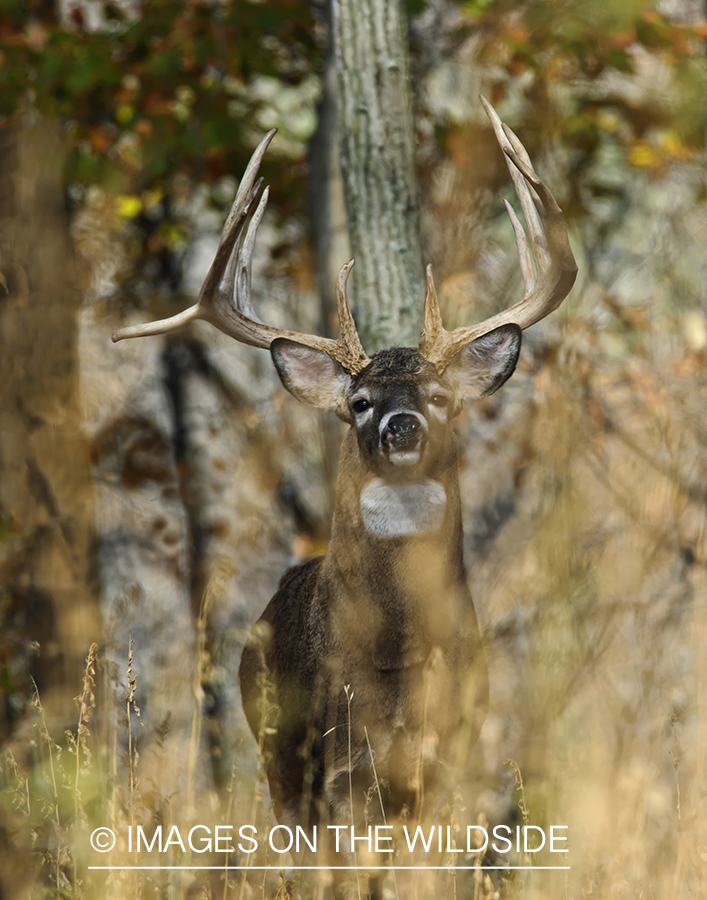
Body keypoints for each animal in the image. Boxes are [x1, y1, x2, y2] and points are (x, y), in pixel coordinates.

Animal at [113, 98, 580, 900]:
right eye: (358, 401)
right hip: (278, 757)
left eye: (439, 396)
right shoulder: (340, 763)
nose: (401, 424)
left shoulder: (449, 754)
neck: (394, 655)